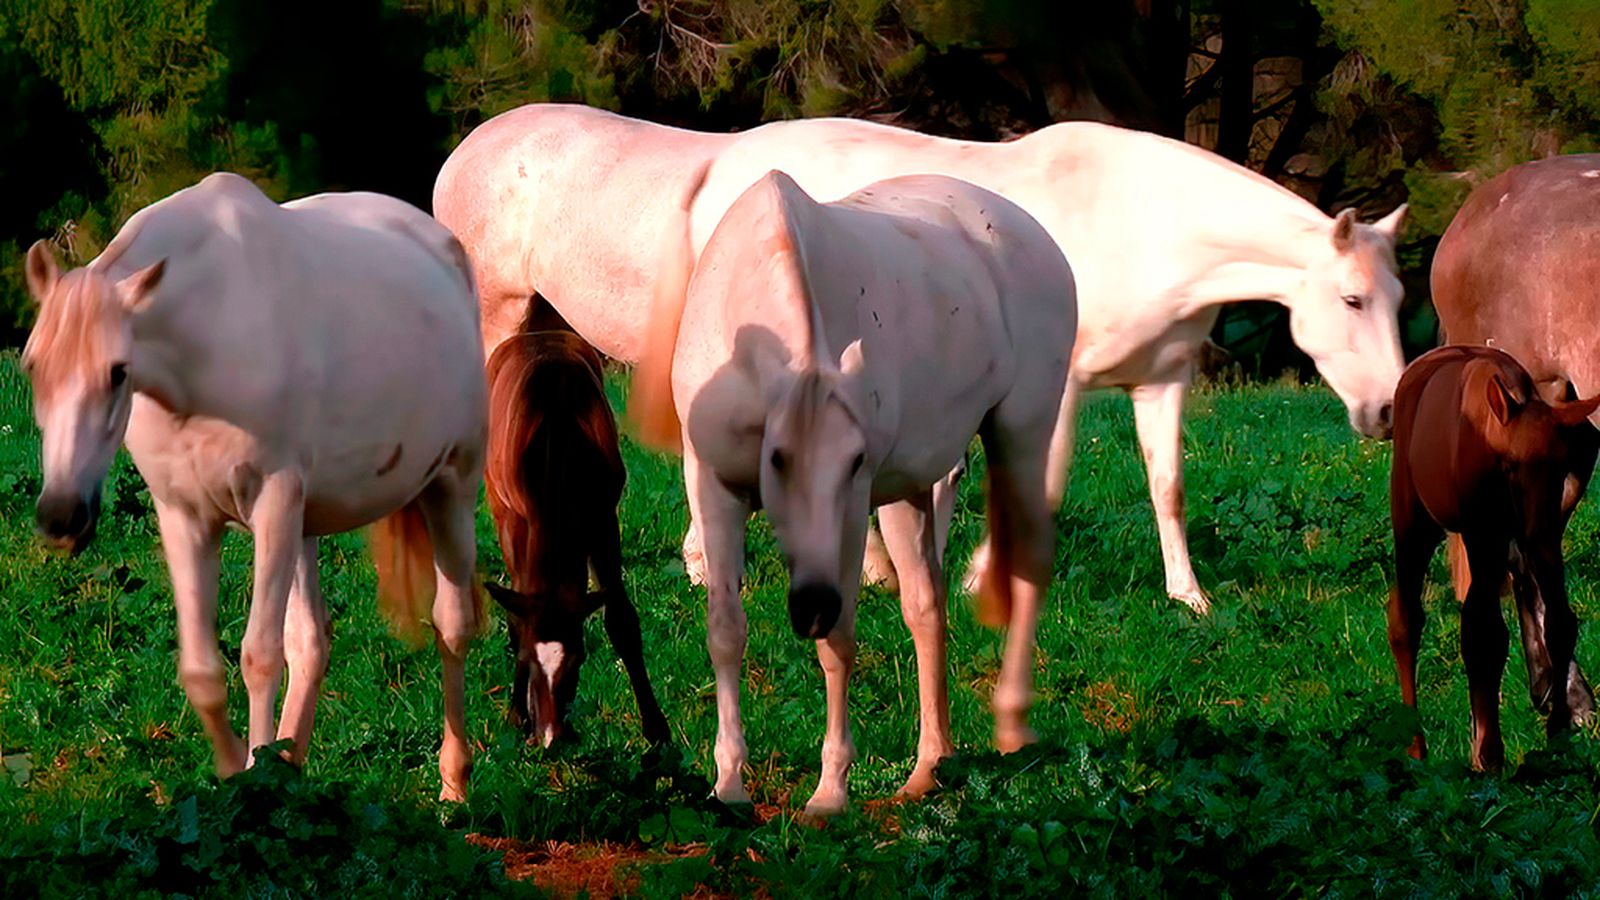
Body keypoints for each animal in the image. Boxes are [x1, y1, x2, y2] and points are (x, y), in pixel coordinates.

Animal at [20, 173, 487, 801]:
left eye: (118, 372)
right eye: (32, 367)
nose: (60, 515)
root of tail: (444, 249)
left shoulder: (273, 502)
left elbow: (259, 656)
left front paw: (255, 787)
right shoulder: (185, 516)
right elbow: (203, 668)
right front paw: (236, 771)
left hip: (449, 489)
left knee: (452, 627)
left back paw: (453, 787)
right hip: (307, 527)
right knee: (311, 642)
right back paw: (289, 764)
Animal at [434, 102, 1408, 613]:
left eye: (1398, 300)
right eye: (1353, 301)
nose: (1389, 411)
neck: (1139, 216)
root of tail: (723, 169)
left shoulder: (1158, 380)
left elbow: (1165, 485)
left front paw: (1189, 598)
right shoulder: (1051, 390)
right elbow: (1038, 487)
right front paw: (986, 581)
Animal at [480, 330, 669, 748]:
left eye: (579, 657)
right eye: (527, 660)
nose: (551, 738)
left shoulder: (602, 516)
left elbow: (621, 618)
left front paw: (656, 727)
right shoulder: (518, 522)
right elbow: (518, 612)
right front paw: (517, 714)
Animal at [629, 170, 1076, 816]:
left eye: (854, 460)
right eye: (777, 457)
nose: (812, 603)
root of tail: (1038, 238)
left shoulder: (850, 512)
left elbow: (837, 644)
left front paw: (830, 791)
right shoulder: (711, 486)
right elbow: (726, 631)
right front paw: (729, 783)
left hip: (1022, 434)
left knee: (1029, 566)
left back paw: (1011, 723)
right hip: (909, 492)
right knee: (926, 605)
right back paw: (928, 767)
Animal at [1386, 345, 1600, 771]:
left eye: (1562, 468)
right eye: (1510, 466)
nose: (1536, 529)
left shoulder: (1542, 536)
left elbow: (1560, 622)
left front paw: (1558, 729)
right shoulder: (1483, 534)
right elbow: (1483, 632)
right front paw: (1487, 753)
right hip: (1412, 514)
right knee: (1405, 617)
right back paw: (1416, 746)